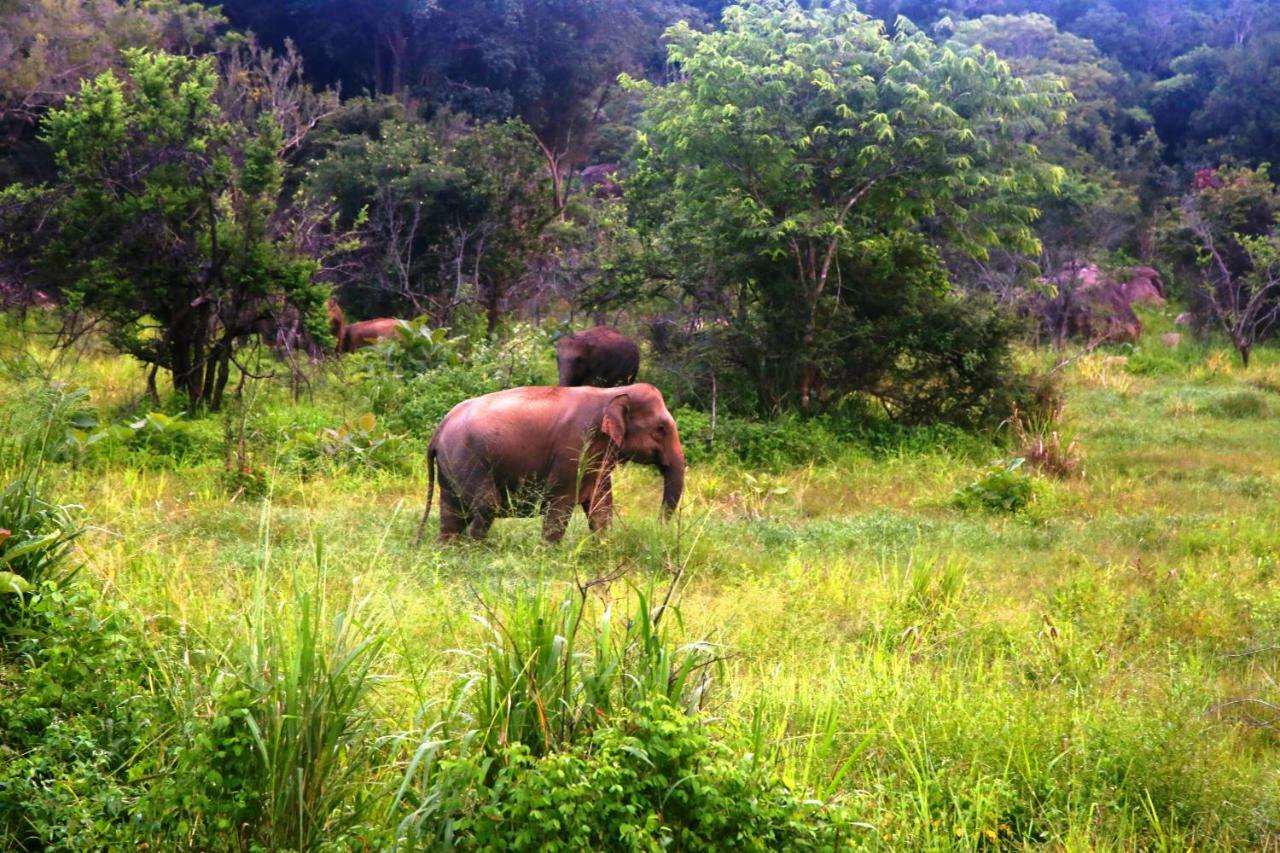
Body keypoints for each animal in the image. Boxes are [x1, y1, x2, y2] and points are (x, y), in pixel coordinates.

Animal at [414, 381, 686, 540]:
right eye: (660, 429)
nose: (658, 527)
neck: (611, 393)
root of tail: (439, 428)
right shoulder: (574, 447)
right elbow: (561, 503)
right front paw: (548, 555)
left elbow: (600, 505)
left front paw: (603, 546)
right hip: (467, 459)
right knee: (486, 505)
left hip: (452, 466)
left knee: (453, 514)